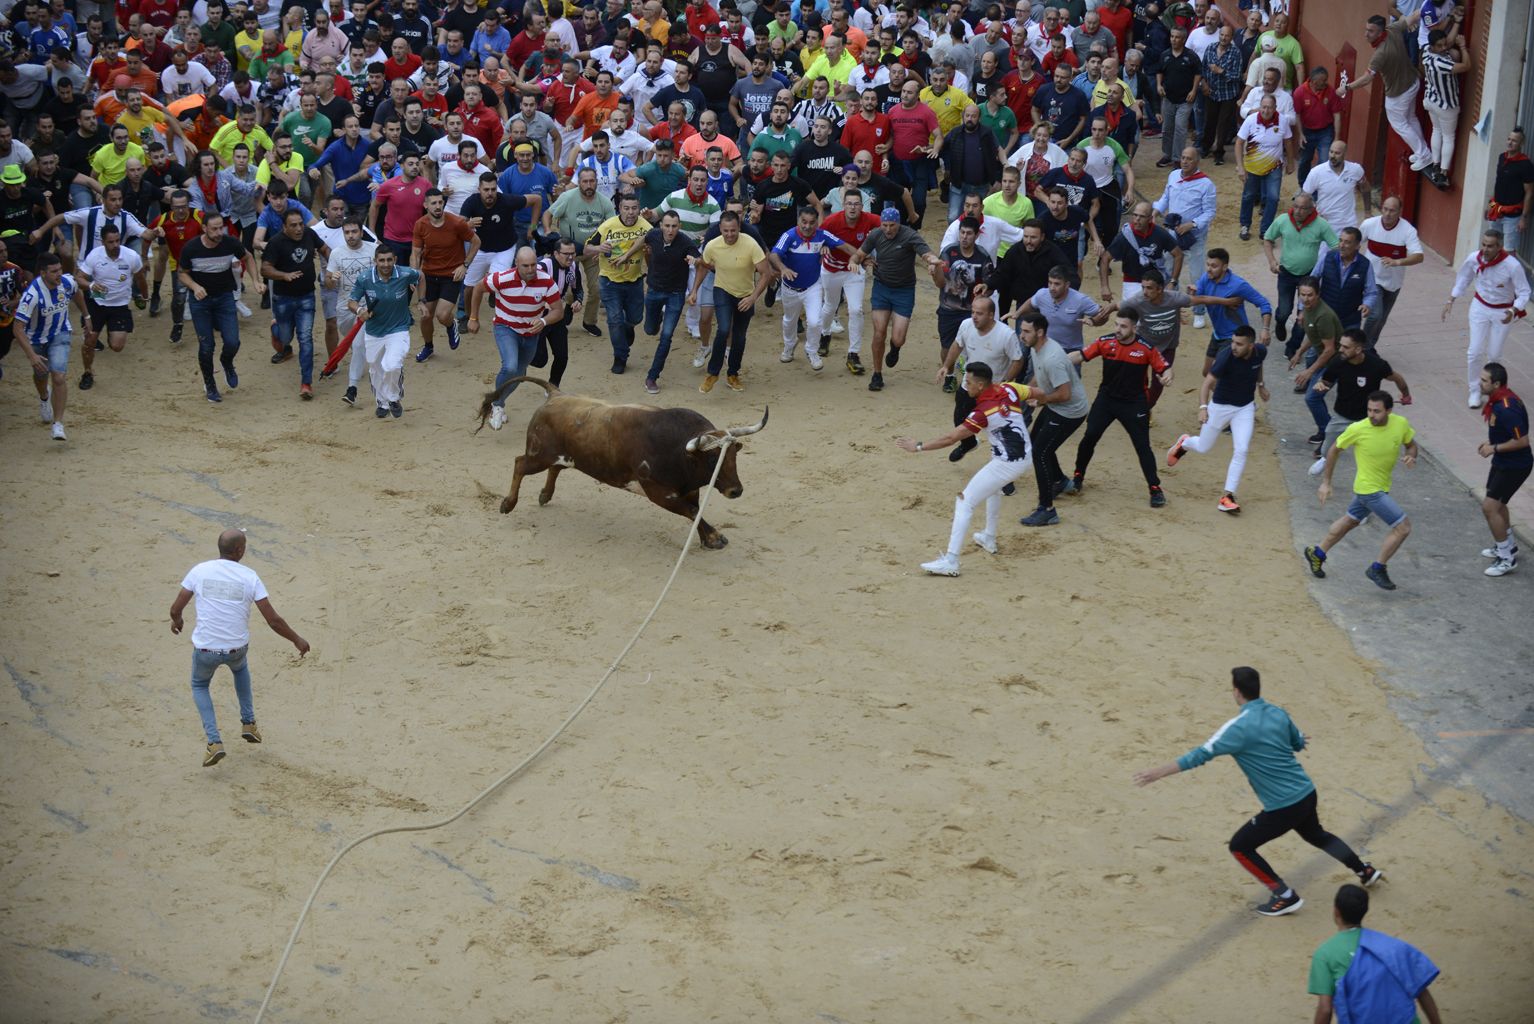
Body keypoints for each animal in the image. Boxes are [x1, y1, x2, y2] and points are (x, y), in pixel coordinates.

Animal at [472, 378, 767, 551]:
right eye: (712, 458)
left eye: (734, 456)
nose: (736, 490)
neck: (678, 449)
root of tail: (556, 395)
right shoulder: (659, 493)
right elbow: (691, 511)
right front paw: (715, 537)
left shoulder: (689, 489)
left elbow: (695, 511)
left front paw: (709, 538)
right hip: (539, 455)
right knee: (520, 464)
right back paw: (508, 504)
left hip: (566, 455)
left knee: (555, 468)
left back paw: (545, 495)